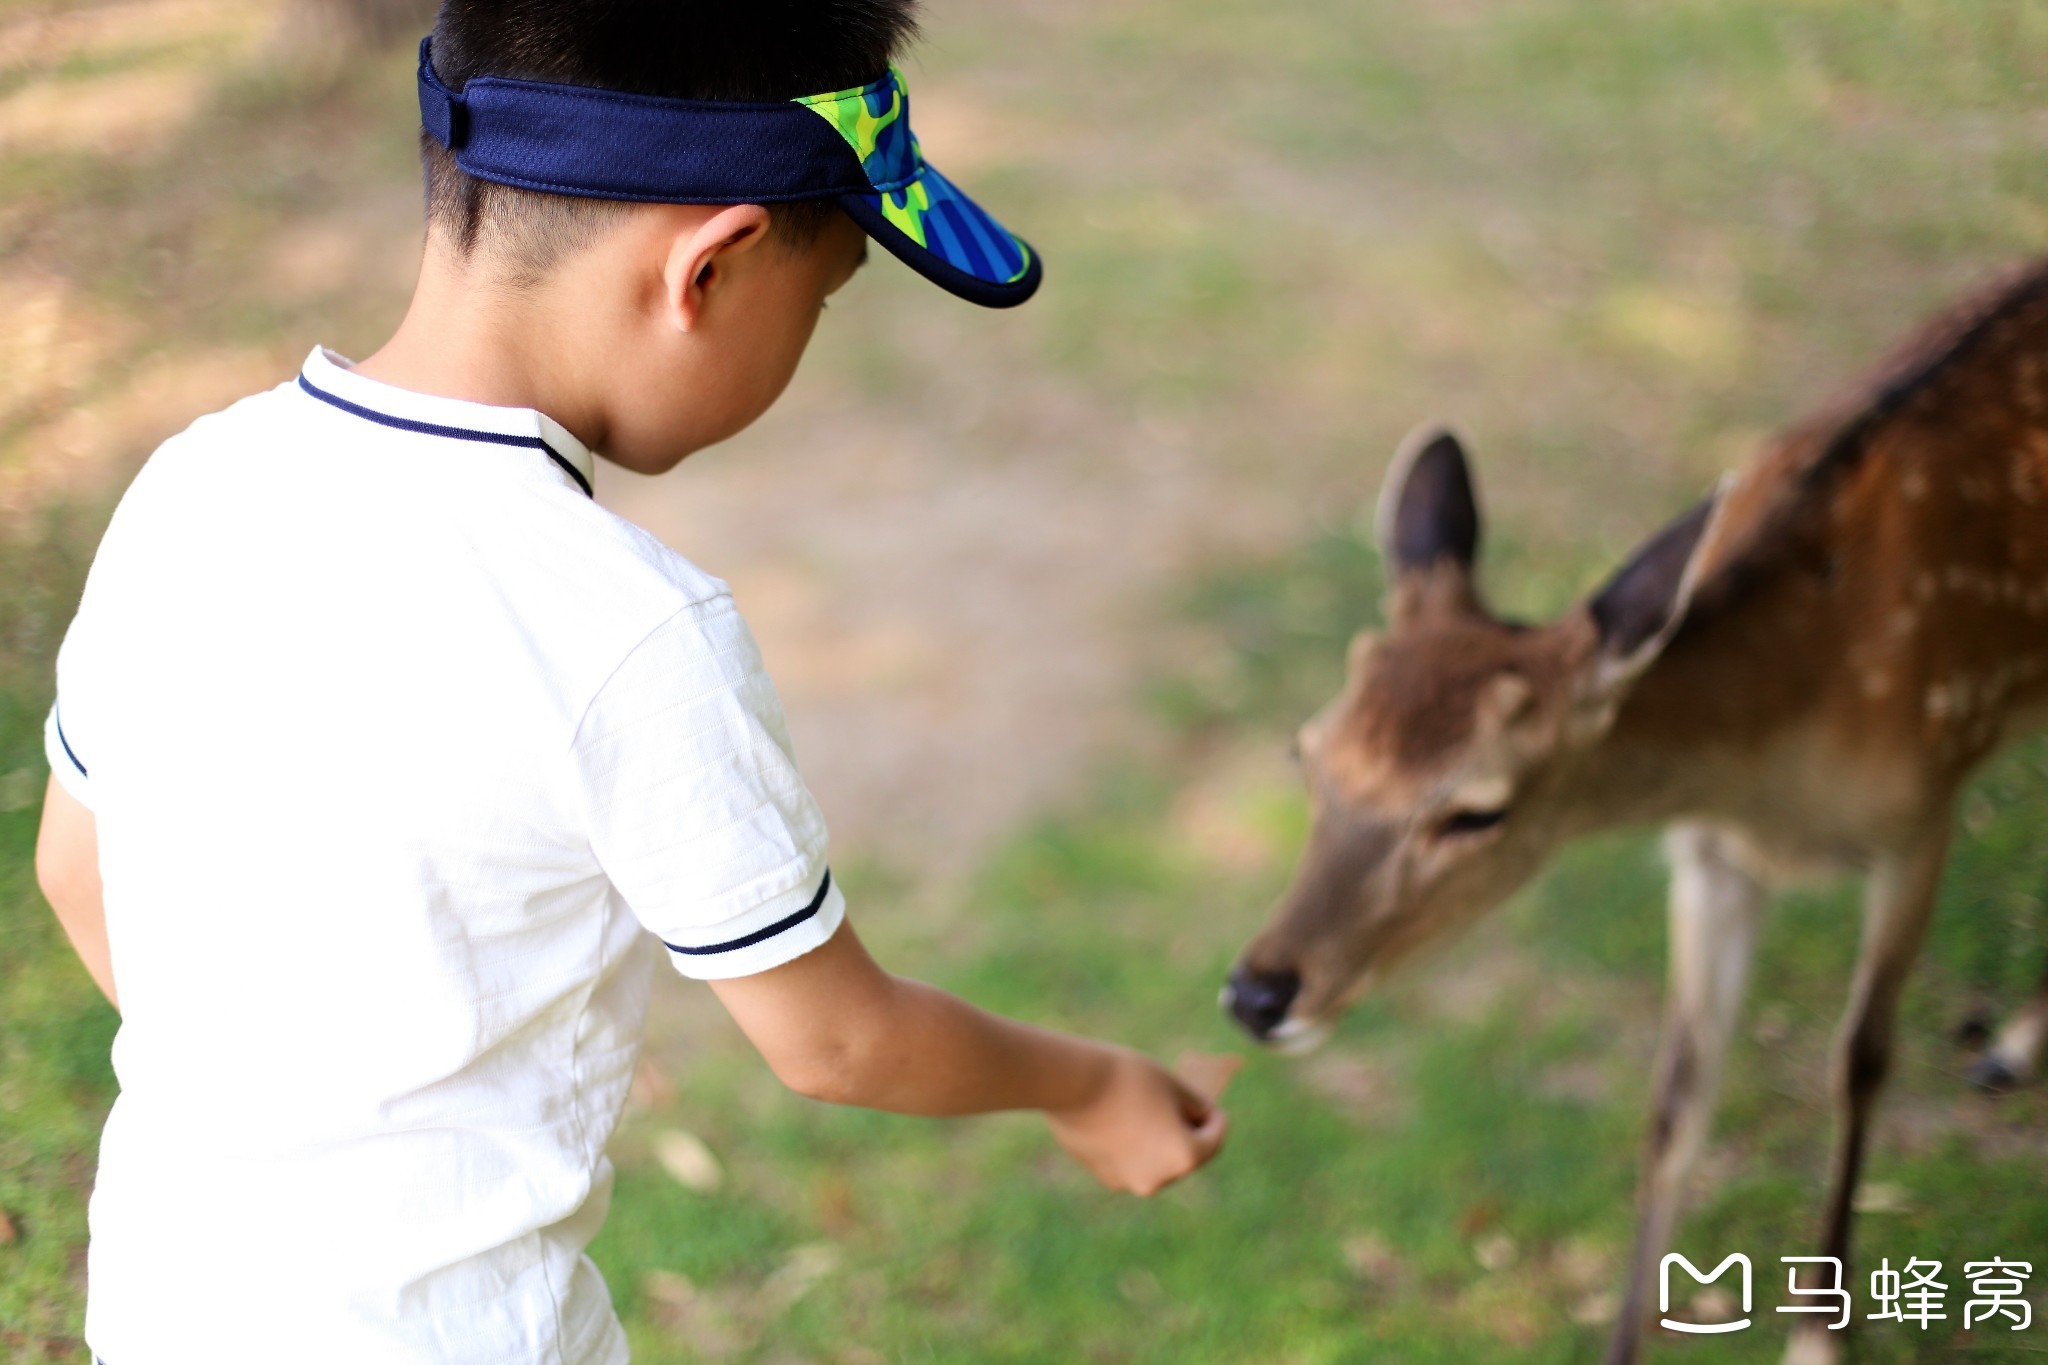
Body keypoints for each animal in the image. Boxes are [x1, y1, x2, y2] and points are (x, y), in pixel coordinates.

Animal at [1212, 258, 2048, 1365]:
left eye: (1475, 812)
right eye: (1306, 754)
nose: (1258, 993)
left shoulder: (1922, 811)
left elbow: (1860, 1059)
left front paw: (1818, 1338)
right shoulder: (1704, 860)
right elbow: (1673, 1101)